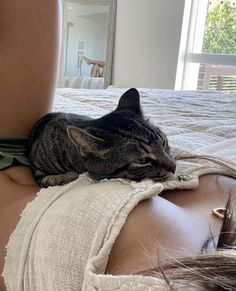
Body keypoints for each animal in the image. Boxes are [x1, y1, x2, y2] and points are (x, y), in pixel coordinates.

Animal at [28, 88, 175, 187]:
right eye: (142, 160)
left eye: (164, 143)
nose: (174, 167)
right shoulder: (38, 172)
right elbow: (52, 179)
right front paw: (69, 175)